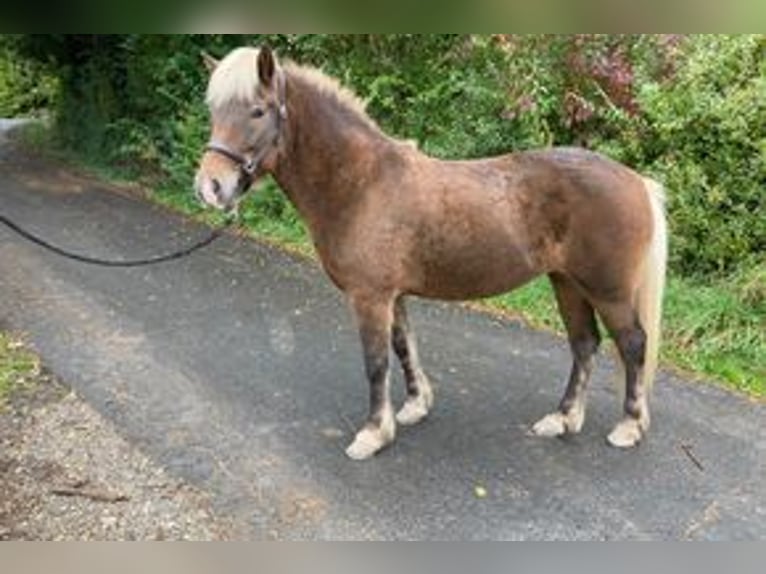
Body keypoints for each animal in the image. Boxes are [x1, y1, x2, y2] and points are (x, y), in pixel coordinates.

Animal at [194, 48, 664, 464]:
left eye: (257, 111)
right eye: (214, 111)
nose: (210, 187)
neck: (361, 183)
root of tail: (636, 181)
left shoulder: (370, 297)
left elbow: (376, 362)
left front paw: (373, 434)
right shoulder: (393, 295)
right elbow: (404, 347)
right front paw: (416, 406)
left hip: (607, 290)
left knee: (632, 344)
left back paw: (628, 427)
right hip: (567, 283)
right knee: (585, 344)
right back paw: (562, 419)